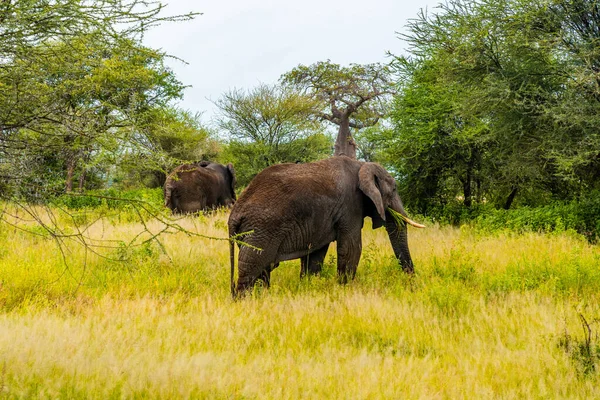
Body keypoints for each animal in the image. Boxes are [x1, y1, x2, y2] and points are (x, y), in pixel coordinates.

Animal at [227, 156, 424, 296]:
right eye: (394, 189)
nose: (412, 284)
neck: (362, 165)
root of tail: (234, 214)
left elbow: (315, 255)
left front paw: (309, 287)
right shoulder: (350, 205)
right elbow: (351, 248)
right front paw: (345, 289)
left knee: (263, 269)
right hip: (261, 229)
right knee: (252, 266)